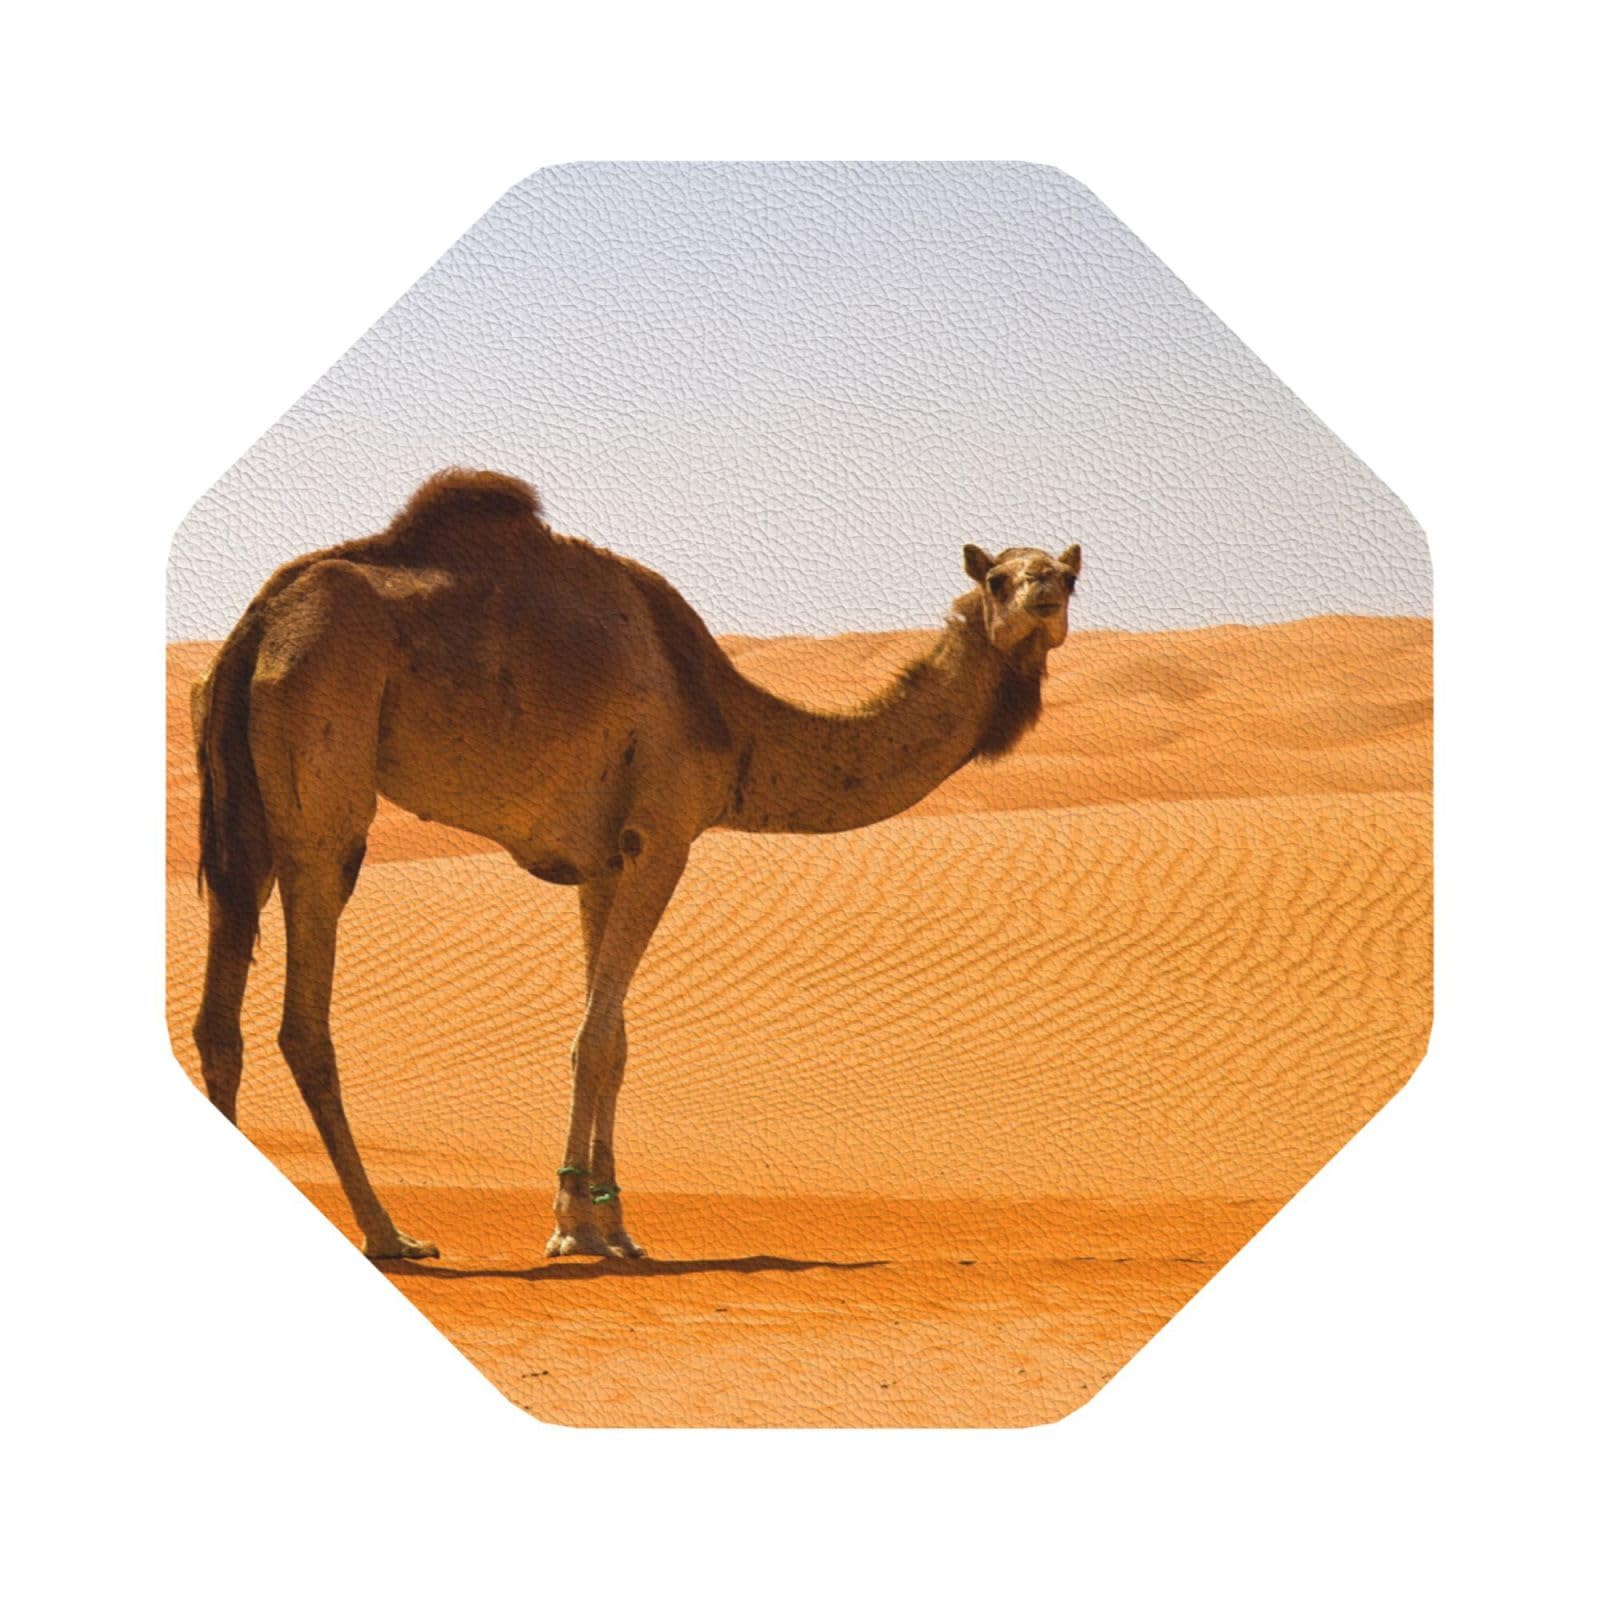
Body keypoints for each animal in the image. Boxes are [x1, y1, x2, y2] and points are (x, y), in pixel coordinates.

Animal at [192, 470, 1081, 1260]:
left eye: (1068, 575)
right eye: (999, 577)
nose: (1044, 594)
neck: (733, 723)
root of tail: (259, 621)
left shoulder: (601, 862)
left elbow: (614, 1039)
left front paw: (612, 1225)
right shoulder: (664, 834)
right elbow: (593, 1039)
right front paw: (570, 1229)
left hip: (246, 807)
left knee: (219, 1017)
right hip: (324, 758)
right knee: (305, 1017)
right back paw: (391, 1233)